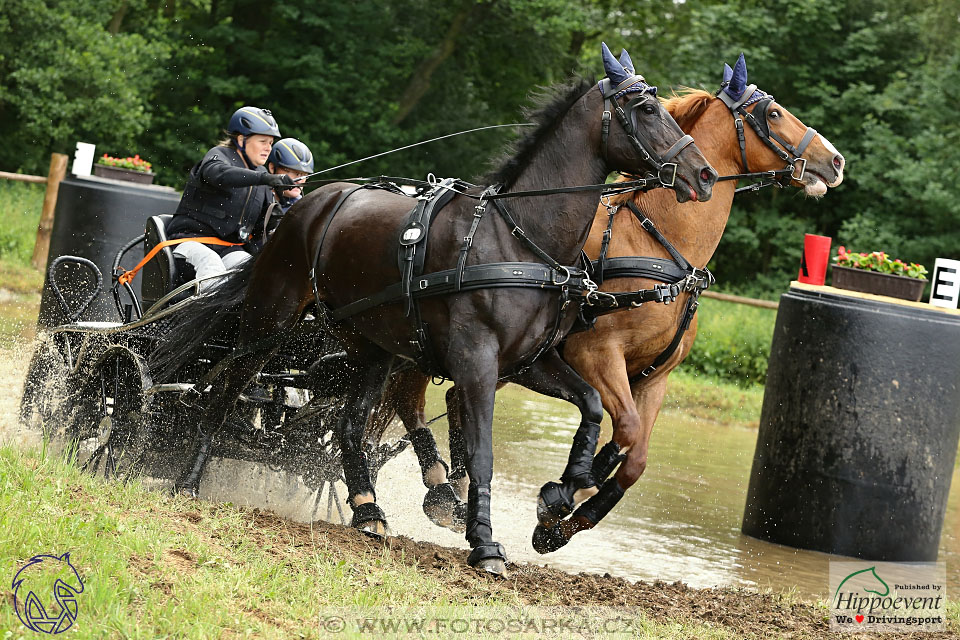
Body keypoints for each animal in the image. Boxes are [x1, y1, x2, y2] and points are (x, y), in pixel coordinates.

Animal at [167, 45, 720, 576]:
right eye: (644, 108)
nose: (704, 174)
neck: (519, 238)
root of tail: (311, 202)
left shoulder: (531, 361)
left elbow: (591, 407)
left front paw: (564, 490)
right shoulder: (478, 363)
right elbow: (481, 453)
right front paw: (486, 544)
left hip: (372, 347)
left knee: (350, 424)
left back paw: (368, 510)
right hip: (270, 321)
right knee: (227, 389)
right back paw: (189, 480)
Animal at [378, 53, 844, 556]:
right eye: (773, 114)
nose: (835, 160)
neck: (660, 244)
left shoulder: (653, 377)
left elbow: (636, 454)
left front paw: (563, 520)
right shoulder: (597, 356)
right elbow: (627, 429)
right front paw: (563, 494)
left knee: (452, 400)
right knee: (410, 400)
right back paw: (440, 489)